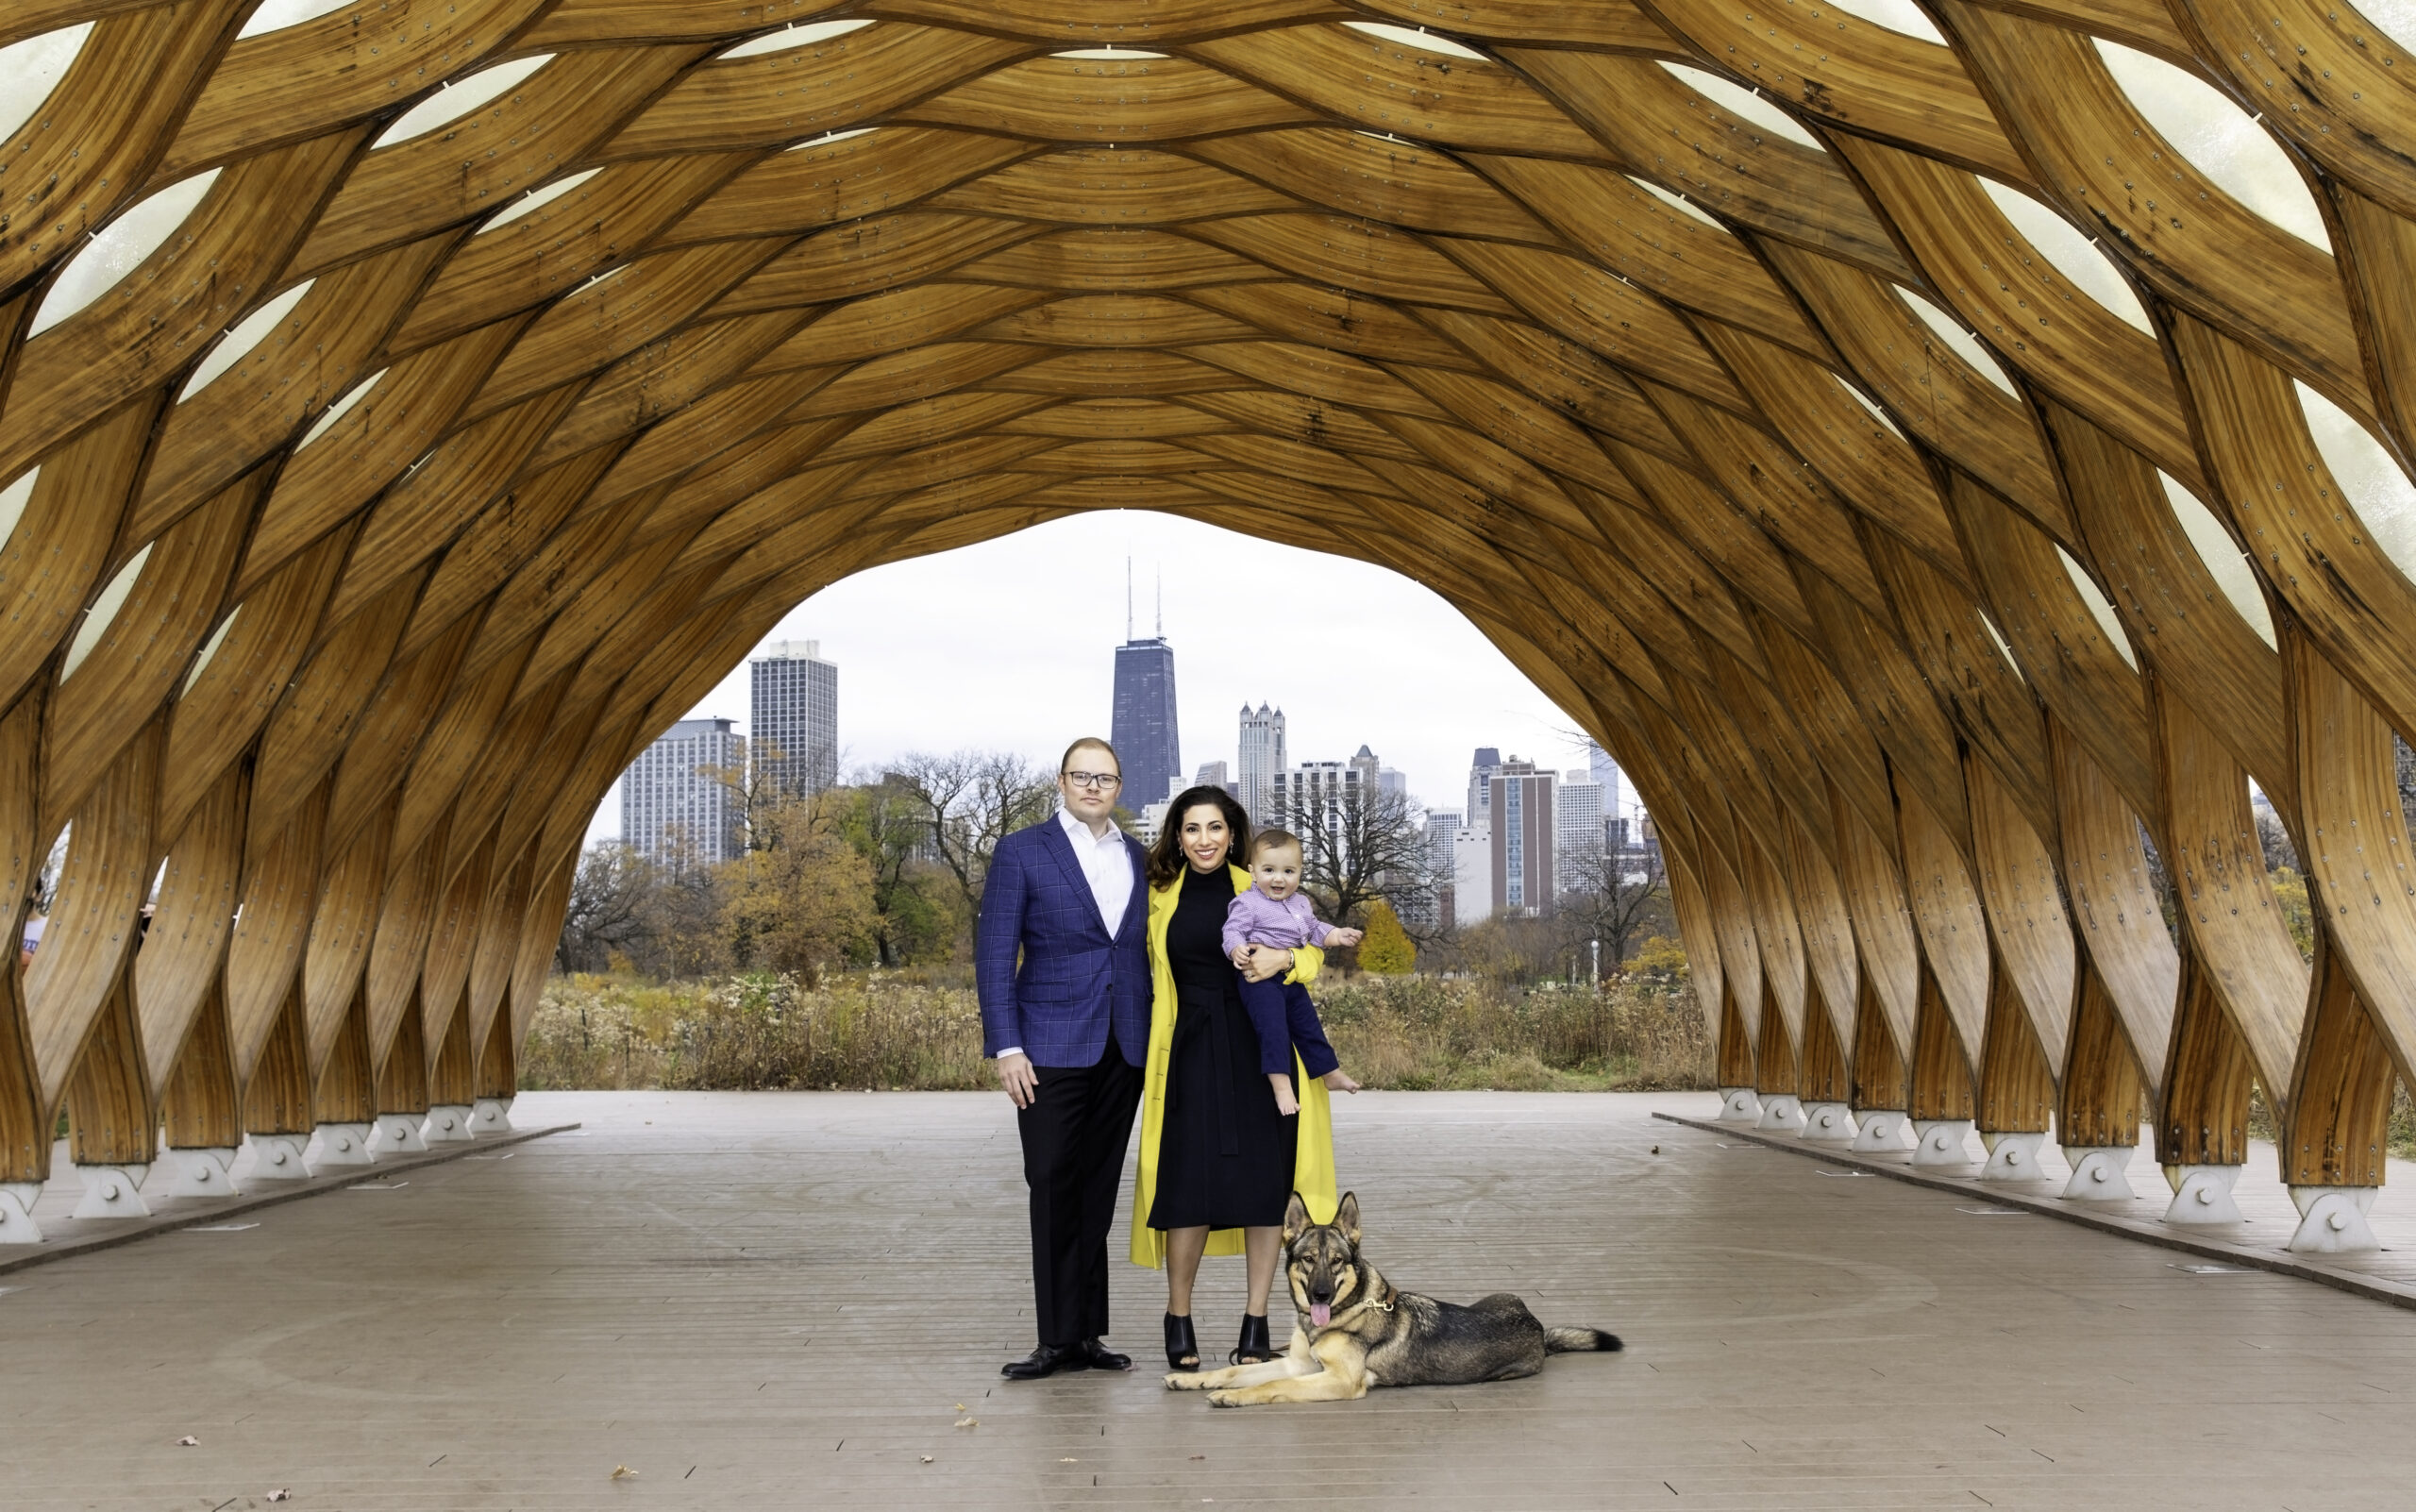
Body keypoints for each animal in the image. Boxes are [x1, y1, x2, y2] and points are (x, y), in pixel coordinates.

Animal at [1169, 1188, 1623, 1401]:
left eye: (1337, 1262)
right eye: (1309, 1259)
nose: (1320, 1296)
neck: (1344, 1312)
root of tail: (1538, 1327)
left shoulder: (1337, 1379)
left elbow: (1268, 1386)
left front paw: (1231, 1398)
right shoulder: (1299, 1365)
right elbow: (1232, 1371)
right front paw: (1192, 1379)